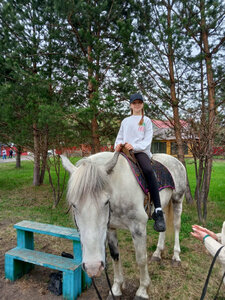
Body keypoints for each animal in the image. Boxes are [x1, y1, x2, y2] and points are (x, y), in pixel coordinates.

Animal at [61, 152, 186, 300]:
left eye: (106, 201)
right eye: (74, 204)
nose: (93, 267)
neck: (118, 189)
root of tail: (174, 159)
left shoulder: (138, 227)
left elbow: (141, 259)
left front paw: (142, 290)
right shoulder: (110, 228)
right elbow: (115, 256)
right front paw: (116, 289)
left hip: (177, 200)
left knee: (177, 226)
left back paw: (176, 256)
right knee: (163, 226)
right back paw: (157, 253)